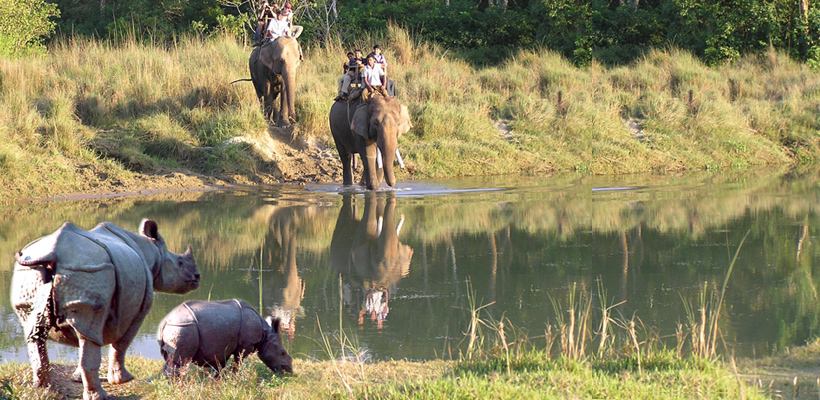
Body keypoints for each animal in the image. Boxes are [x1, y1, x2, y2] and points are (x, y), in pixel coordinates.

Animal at [12, 219, 200, 400]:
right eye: (180, 262)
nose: (197, 277)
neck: (152, 252)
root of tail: (53, 253)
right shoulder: (140, 311)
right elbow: (121, 345)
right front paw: (123, 380)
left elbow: (83, 342)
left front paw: (77, 378)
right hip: (89, 270)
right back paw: (99, 396)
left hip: (30, 274)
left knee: (37, 335)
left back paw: (43, 390)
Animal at [156, 300, 292, 376]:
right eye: (282, 352)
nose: (289, 370)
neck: (265, 334)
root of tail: (165, 321)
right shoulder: (246, 344)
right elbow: (238, 361)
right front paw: (233, 377)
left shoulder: (221, 346)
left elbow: (219, 364)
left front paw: (216, 380)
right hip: (184, 327)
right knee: (179, 362)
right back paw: (177, 386)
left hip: (179, 327)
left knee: (171, 360)